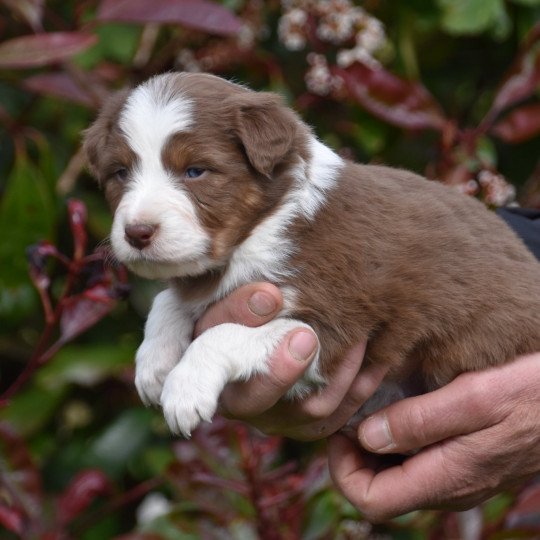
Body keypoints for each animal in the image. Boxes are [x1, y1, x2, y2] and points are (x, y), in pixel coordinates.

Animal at [83, 71, 540, 438]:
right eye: (120, 173)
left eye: (195, 171)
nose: (137, 232)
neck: (263, 228)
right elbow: (168, 299)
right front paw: (154, 363)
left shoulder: (331, 321)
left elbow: (223, 332)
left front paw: (184, 389)